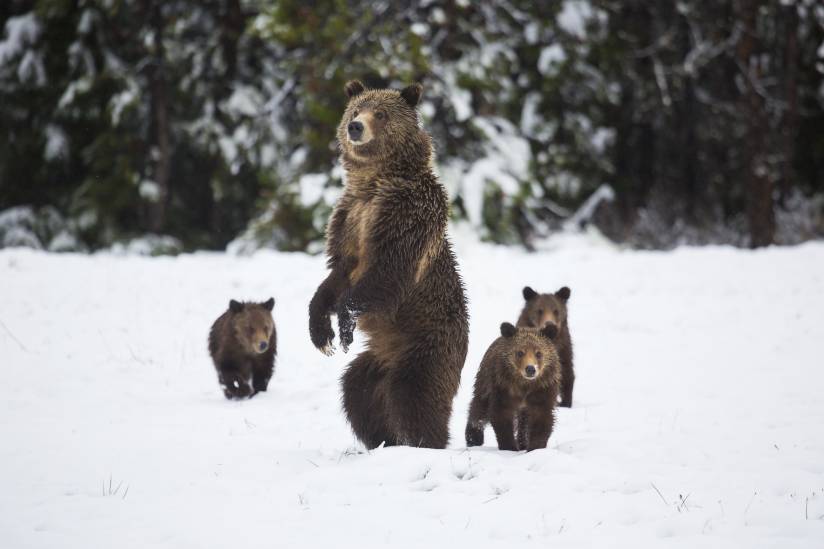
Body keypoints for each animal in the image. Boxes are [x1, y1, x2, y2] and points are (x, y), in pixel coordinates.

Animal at [308, 81, 466, 450]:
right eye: (356, 110)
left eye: (380, 113)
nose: (355, 127)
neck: (374, 182)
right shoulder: (349, 218)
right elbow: (336, 274)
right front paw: (322, 334)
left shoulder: (404, 215)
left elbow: (387, 271)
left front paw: (344, 324)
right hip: (376, 359)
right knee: (357, 393)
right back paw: (382, 441)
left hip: (426, 347)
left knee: (414, 397)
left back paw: (424, 443)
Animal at [466, 322, 564, 450]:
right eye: (520, 352)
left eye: (538, 353)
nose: (530, 369)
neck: (524, 384)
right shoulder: (503, 387)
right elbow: (501, 414)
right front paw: (509, 446)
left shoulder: (542, 389)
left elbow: (541, 417)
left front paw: (535, 447)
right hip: (485, 381)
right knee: (479, 408)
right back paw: (473, 437)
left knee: (524, 422)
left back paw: (523, 443)